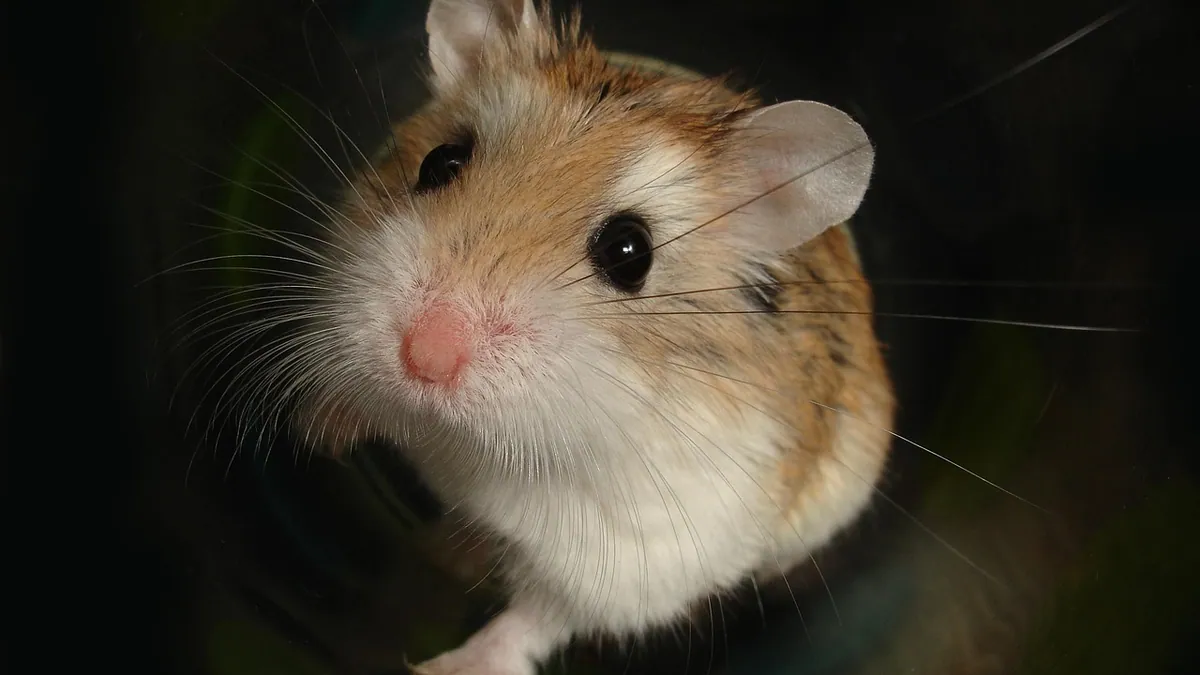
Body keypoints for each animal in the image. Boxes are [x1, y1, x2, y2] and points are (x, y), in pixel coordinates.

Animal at [284, 1, 895, 673]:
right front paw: (314, 430)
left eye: (630, 253)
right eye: (439, 162)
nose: (424, 356)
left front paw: (443, 667)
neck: (471, 439)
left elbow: (533, 622)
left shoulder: (633, 564)